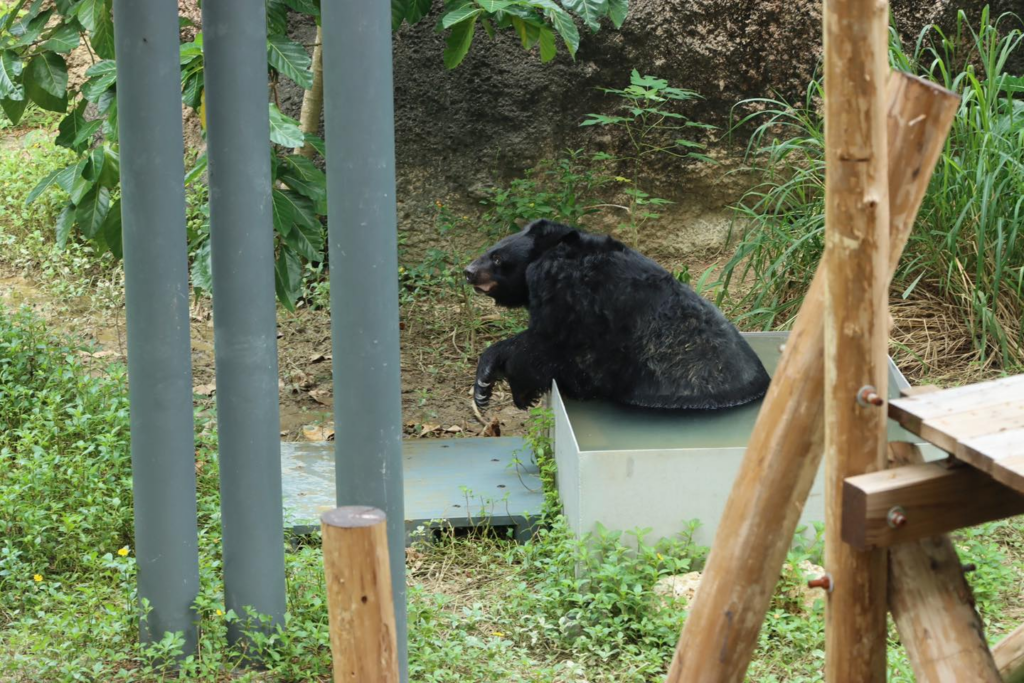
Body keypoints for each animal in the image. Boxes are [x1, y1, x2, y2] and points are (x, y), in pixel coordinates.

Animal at [463, 219, 771, 412]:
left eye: (497, 258)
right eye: (489, 250)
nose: (468, 271)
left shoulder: (575, 301)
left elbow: (549, 347)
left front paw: (489, 383)